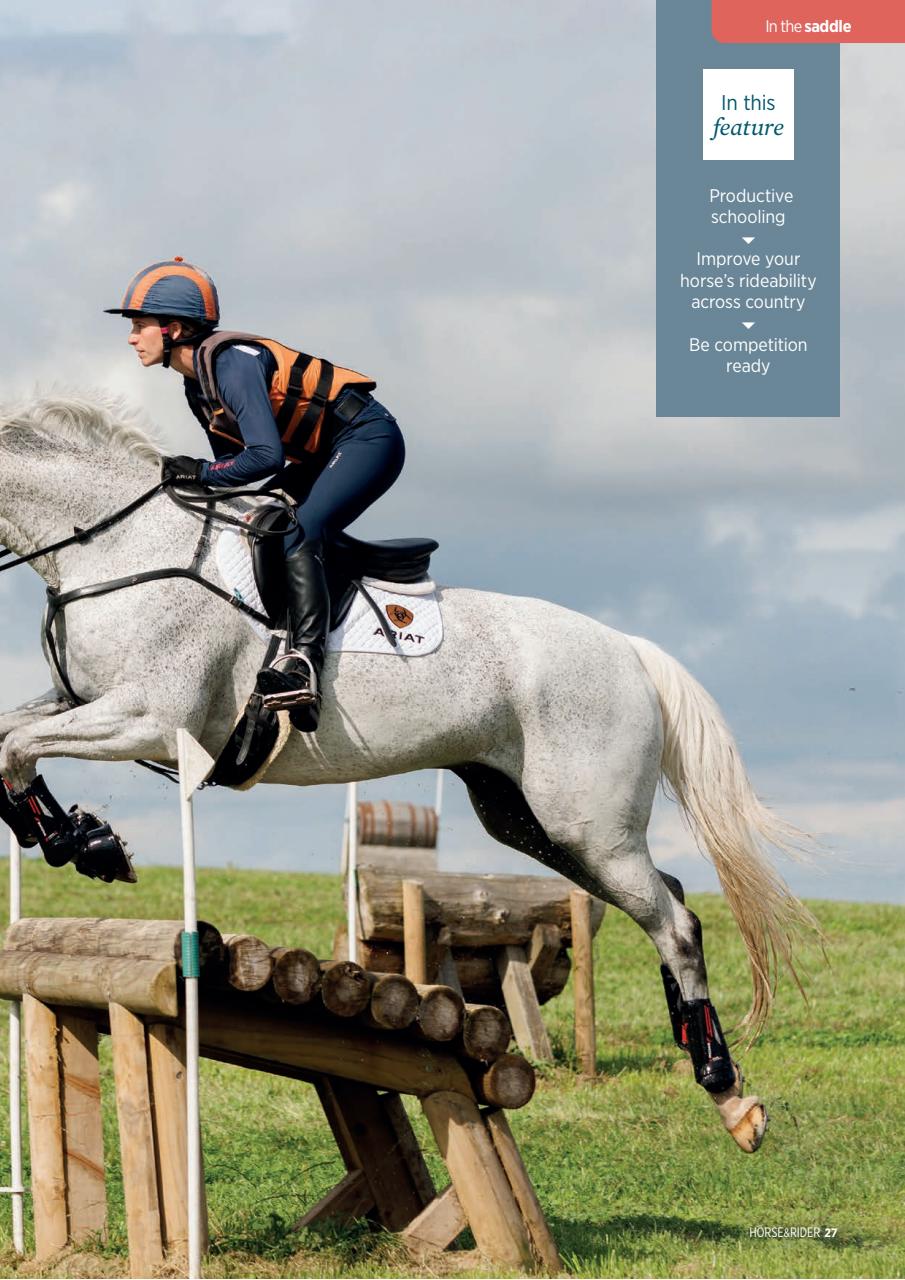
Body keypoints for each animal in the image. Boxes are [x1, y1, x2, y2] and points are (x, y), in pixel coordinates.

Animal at [0, 391, 817, 1154]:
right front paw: (82, 840)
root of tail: (630, 649)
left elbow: (14, 747)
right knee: (666, 899)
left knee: (673, 922)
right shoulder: (87, 702)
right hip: (532, 820)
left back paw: (728, 1093)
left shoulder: (148, 714)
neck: (114, 548)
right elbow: (11, 737)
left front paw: (82, 841)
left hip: (586, 822)